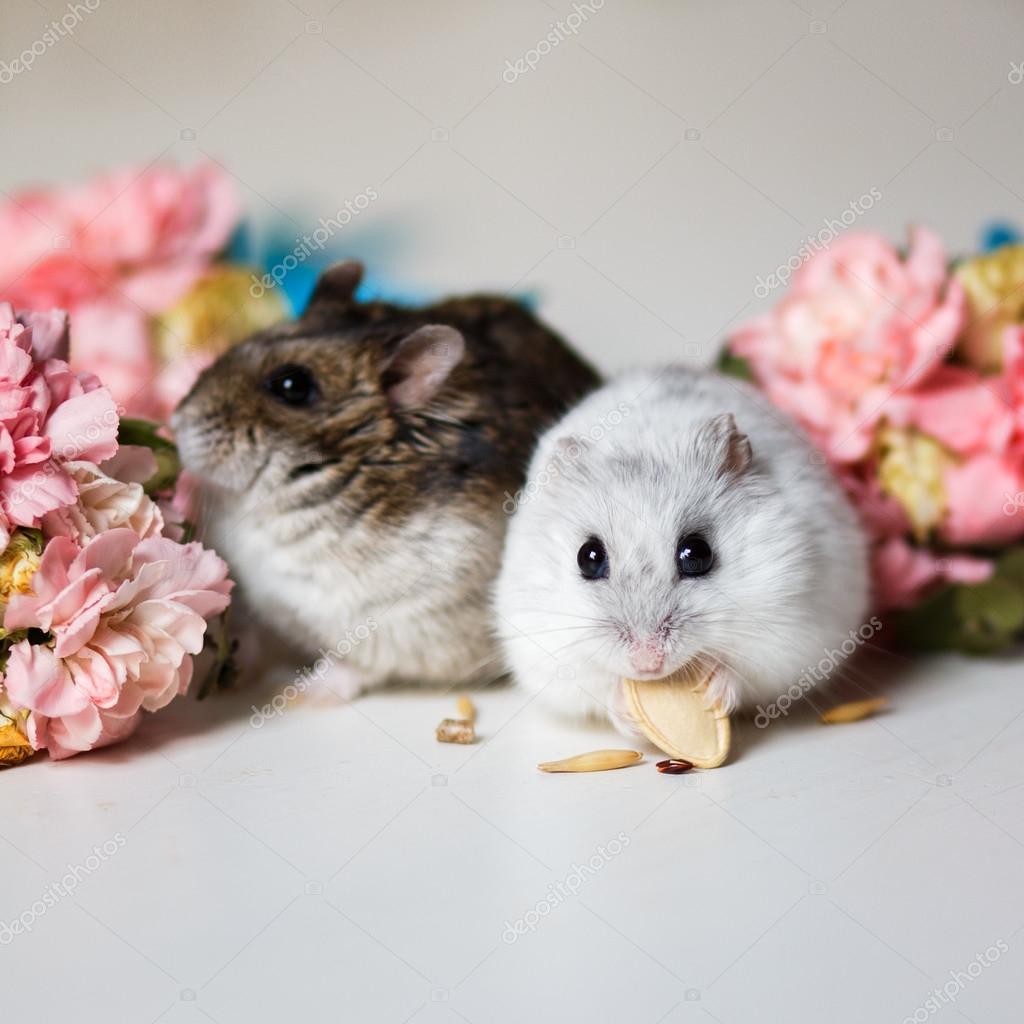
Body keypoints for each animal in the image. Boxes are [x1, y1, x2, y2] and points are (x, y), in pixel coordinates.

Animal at [494, 367, 870, 729]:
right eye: (588, 558)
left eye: (697, 554)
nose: (648, 664)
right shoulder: (546, 649)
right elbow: (599, 687)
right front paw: (629, 715)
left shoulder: (787, 633)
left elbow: (743, 672)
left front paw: (714, 691)